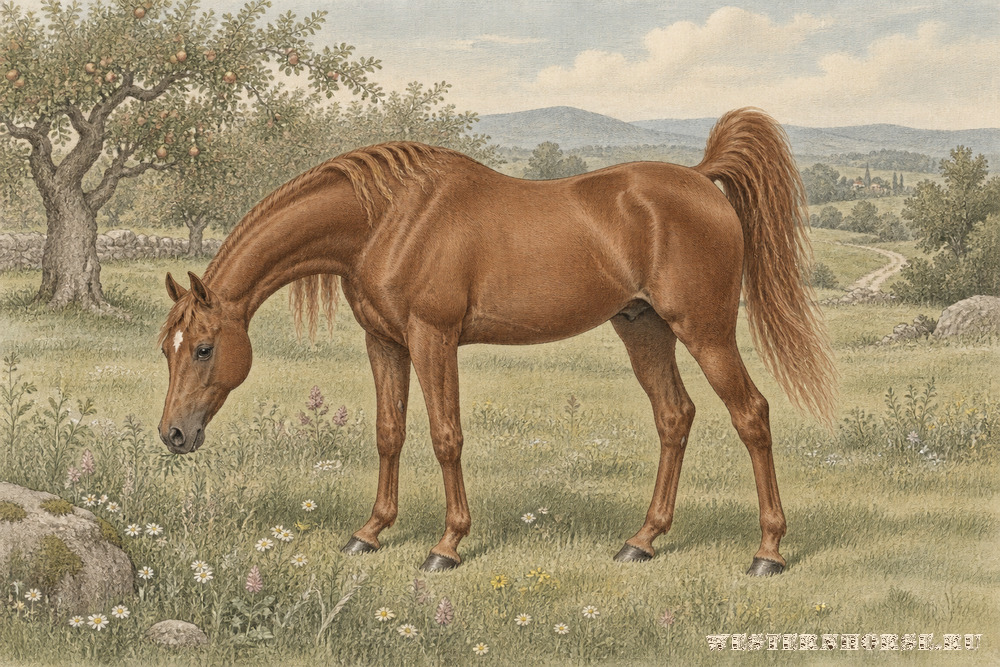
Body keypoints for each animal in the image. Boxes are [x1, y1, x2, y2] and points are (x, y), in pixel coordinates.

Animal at [158, 107, 835, 575]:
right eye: (167, 347)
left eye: (203, 348)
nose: (173, 435)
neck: (388, 218)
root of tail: (699, 179)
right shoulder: (384, 343)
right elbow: (389, 432)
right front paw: (370, 533)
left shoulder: (432, 338)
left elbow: (445, 436)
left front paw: (447, 546)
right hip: (643, 328)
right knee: (675, 416)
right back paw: (641, 542)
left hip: (706, 331)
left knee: (751, 414)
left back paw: (768, 552)